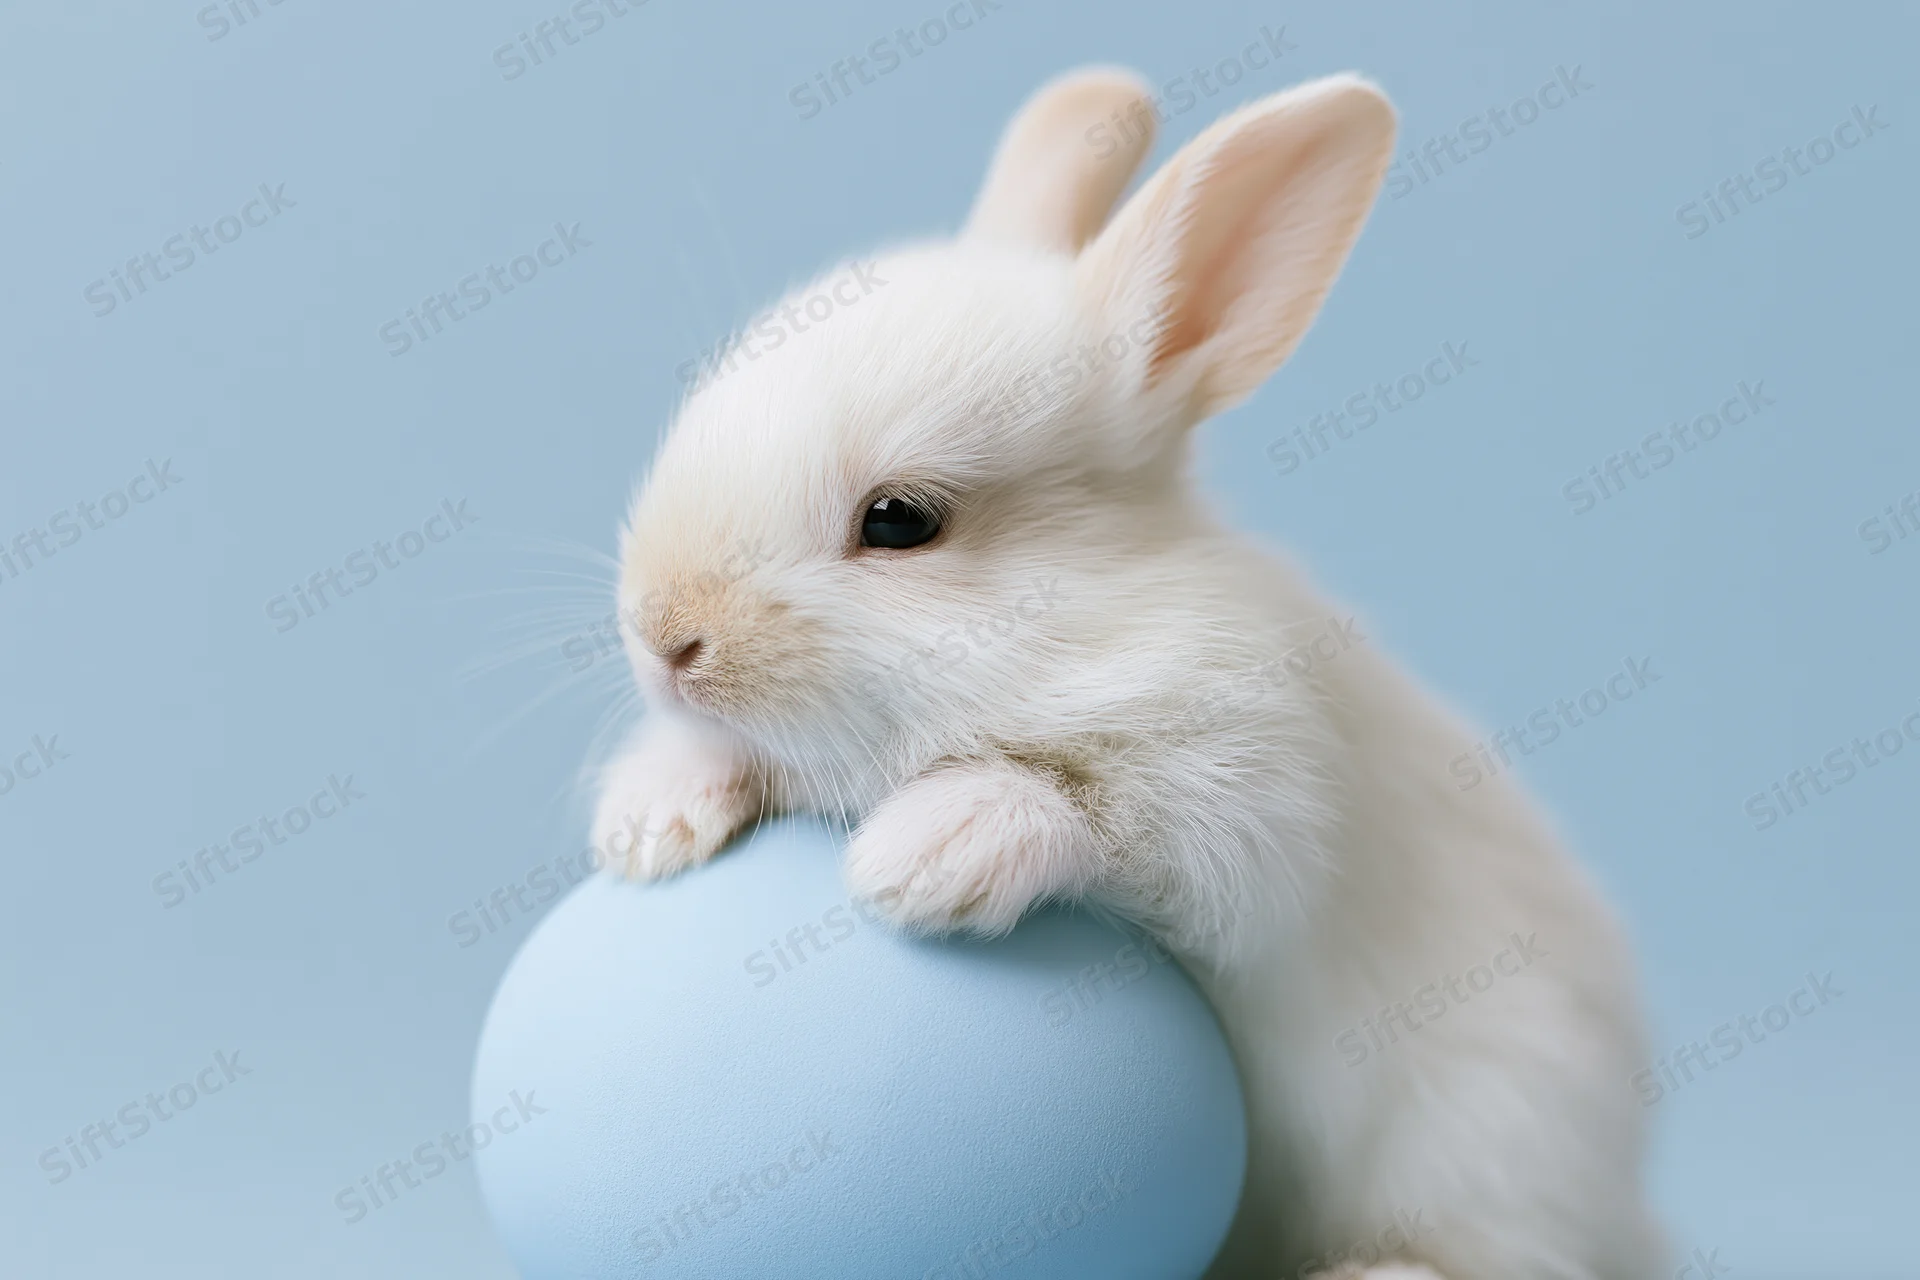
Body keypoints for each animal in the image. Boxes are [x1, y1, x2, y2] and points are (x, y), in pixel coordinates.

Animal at [592, 65, 1665, 1280]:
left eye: (901, 520)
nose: (663, 636)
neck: (1086, 618)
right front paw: (650, 826)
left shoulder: (1249, 794)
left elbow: (1089, 808)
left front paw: (922, 858)